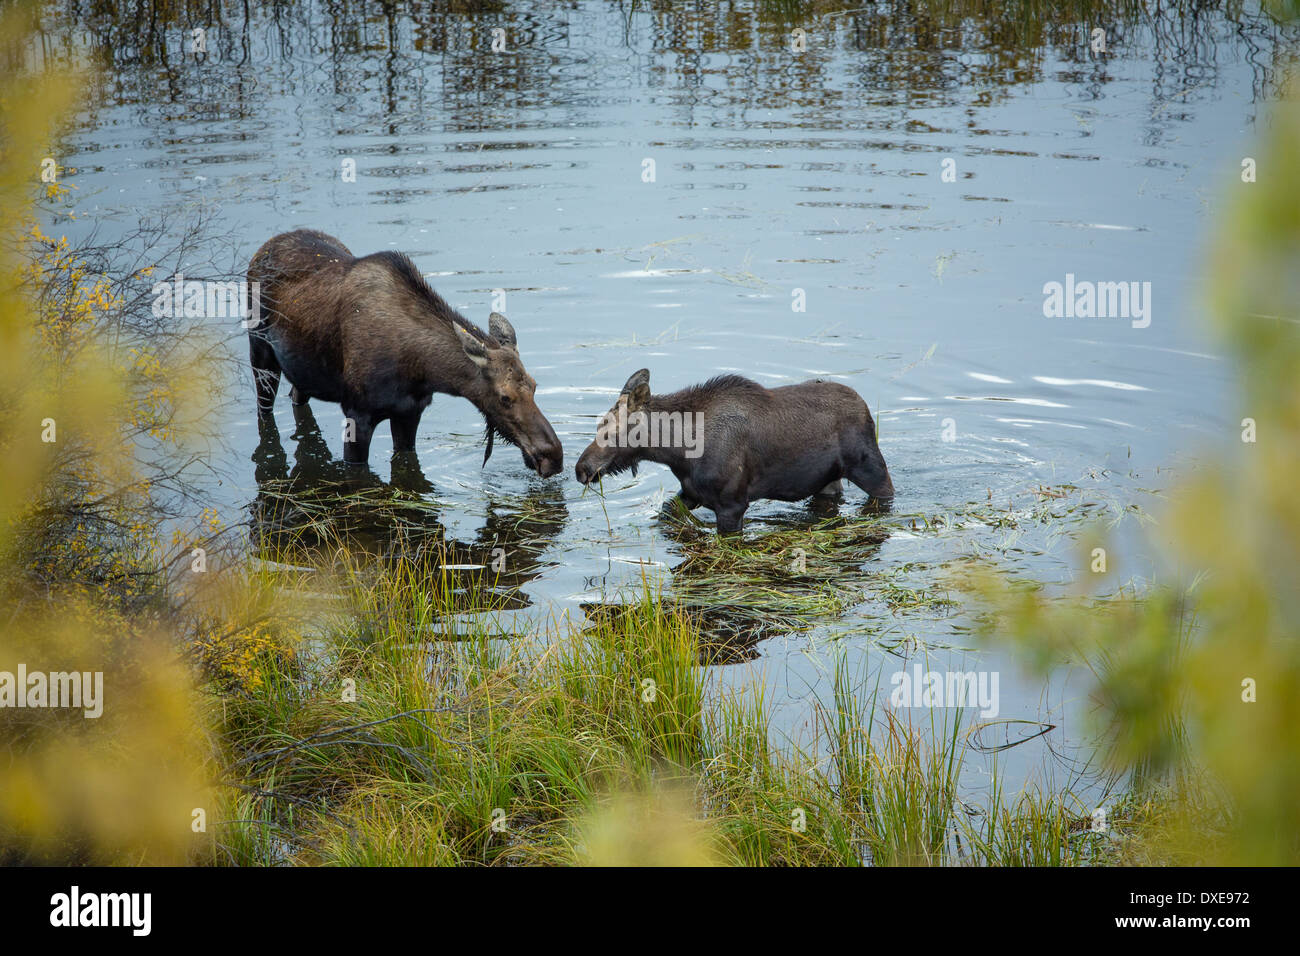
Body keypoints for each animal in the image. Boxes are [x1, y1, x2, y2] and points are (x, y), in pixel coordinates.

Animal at [248, 227, 564, 476]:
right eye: (504, 398)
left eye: (535, 386)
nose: (554, 456)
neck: (423, 370)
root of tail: (261, 250)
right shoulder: (357, 414)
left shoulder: (410, 412)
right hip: (260, 353)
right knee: (264, 413)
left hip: (302, 369)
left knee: (297, 398)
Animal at [579, 369, 894, 535]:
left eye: (611, 430)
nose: (581, 468)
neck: (678, 452)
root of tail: (865, 408)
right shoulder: (691, 494)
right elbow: (666, 513)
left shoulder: (733, 504)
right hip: (827, 481)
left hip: (871, 467)